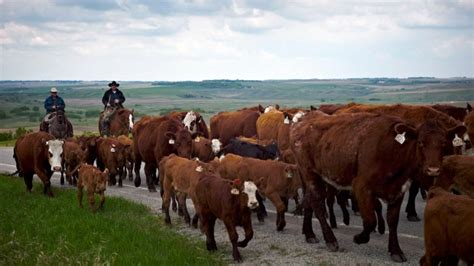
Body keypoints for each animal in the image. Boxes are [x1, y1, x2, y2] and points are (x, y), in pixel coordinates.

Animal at [288, 110, 466, 262]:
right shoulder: (361, 187)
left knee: (309, 201)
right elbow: (370, 220)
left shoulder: (399, 190)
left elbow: (392, 221)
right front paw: (359, 238)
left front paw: (396, 251)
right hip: (309, 173)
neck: (392, 150)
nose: (433, 169)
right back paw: (330, 240)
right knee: (318, 203)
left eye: (444, 143)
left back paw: (309, 234)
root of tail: (303, 119)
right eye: (421, 143)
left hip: (317, 176)